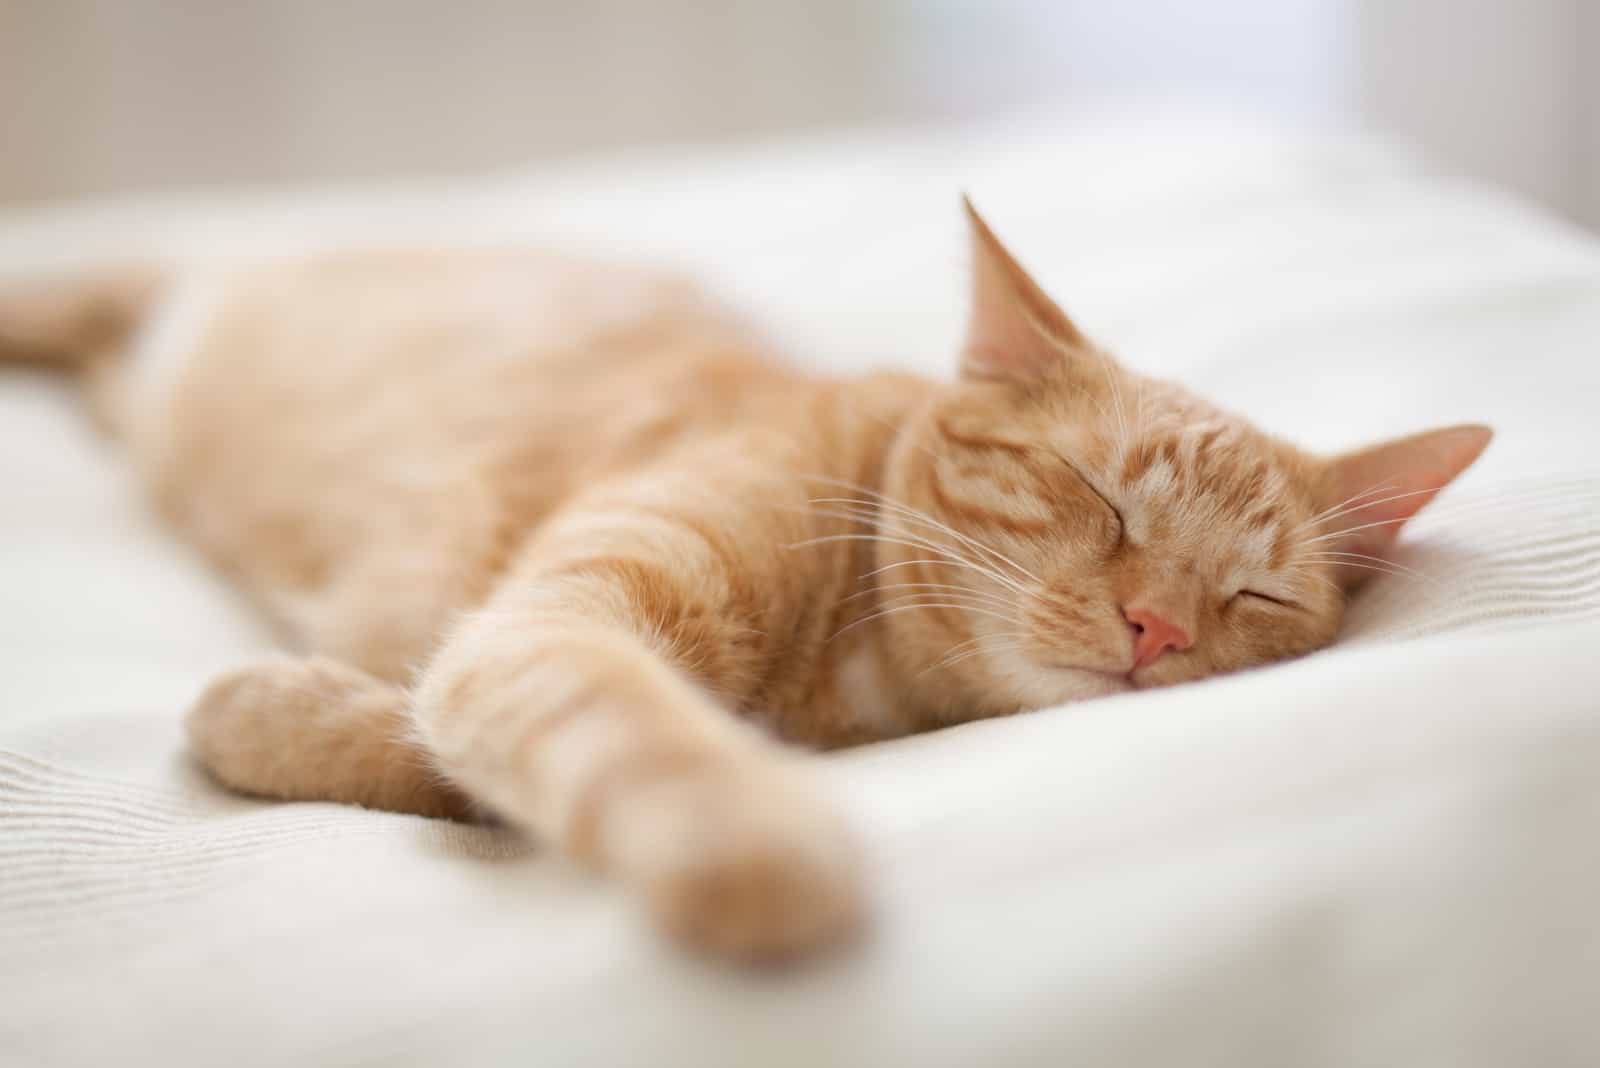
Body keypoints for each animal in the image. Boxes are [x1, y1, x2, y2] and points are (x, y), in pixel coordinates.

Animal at [0, 199, 1484, 959]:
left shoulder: (496, 648)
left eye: (1256, 598)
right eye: (1101, 496)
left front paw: (269, 710)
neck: (856, 681)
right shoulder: (550, 624)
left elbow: (438, 737)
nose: (1157, 627)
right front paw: (747, 837)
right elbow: (620, 722)